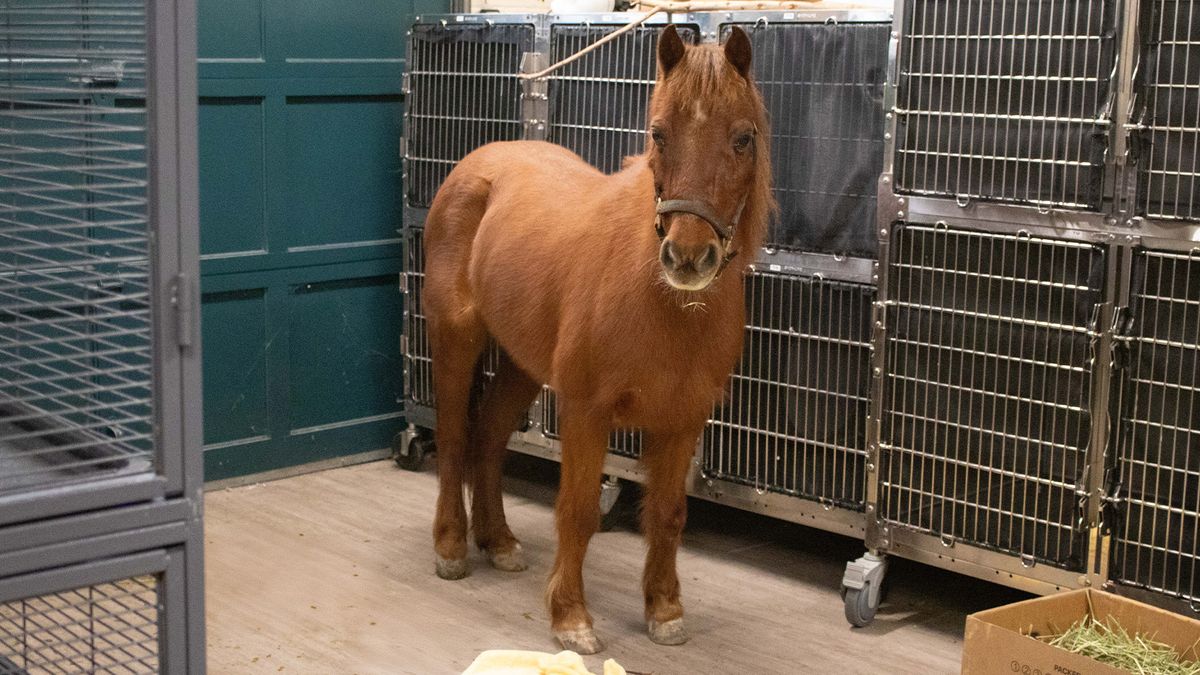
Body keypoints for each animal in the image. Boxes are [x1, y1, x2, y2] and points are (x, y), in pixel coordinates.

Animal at [421, 25, 773, 654]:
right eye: (658, 133)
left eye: (743, 138)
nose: (688, 257)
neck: (665, 301)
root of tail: (479, 164)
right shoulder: (586, 411)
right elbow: (579, 510)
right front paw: (571, 619)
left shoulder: (683, 419)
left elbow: (668, 513)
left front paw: (664, 610)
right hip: (455, 339)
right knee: (456, 436)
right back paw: (453, 547)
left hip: (522, 364)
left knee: (488, 438)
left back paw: (499, 542)